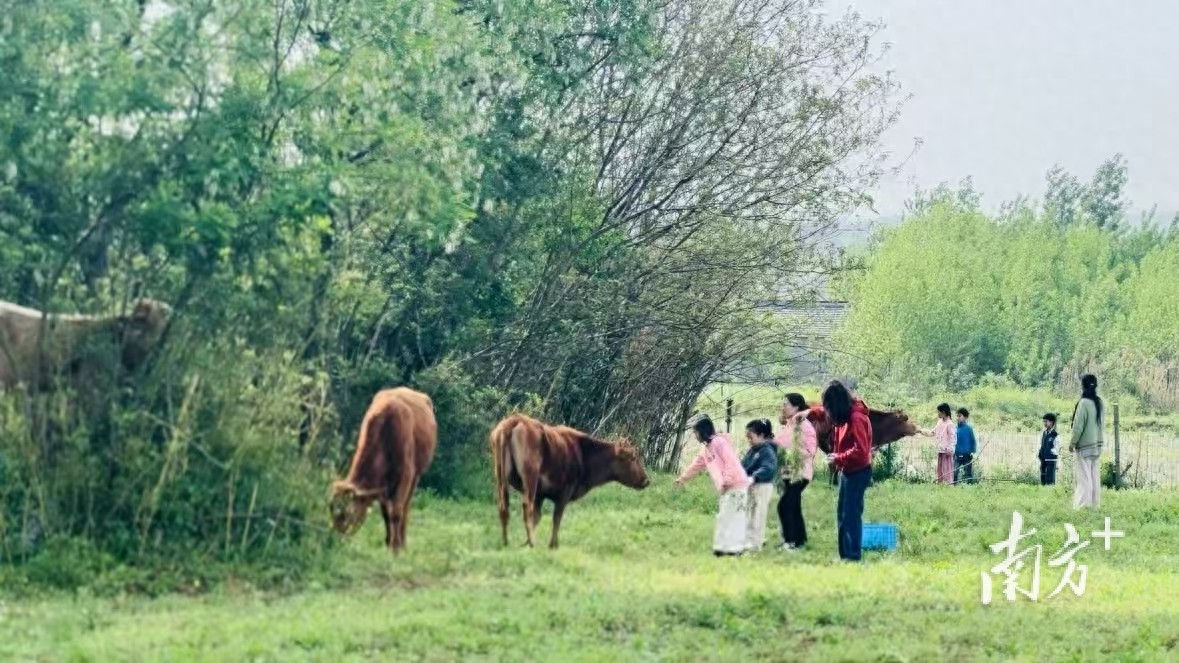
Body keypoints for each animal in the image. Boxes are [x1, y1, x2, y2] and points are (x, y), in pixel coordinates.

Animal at [330, 386, 436, 552]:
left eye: (347, 514)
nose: (335, 539)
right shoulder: (381, 486)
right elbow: (386, 513)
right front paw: (388, 542)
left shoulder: (406, 476)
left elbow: (396, 512)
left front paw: (396, 547)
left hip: (416, 476)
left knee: (406, 506)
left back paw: (403, 541)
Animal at [490, 412, 655, 547]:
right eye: (633, 457)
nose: (646, 480)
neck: (583, 454)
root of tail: (513, 422)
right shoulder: (563, 492)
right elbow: (556, 517)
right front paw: (552, 544)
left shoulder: (540, 495)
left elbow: (538, 517)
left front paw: (524, 543)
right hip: (530, 477)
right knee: (526, 506)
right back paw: (532, 543)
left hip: (501, 476)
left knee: (504, 506)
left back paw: (506, 542)